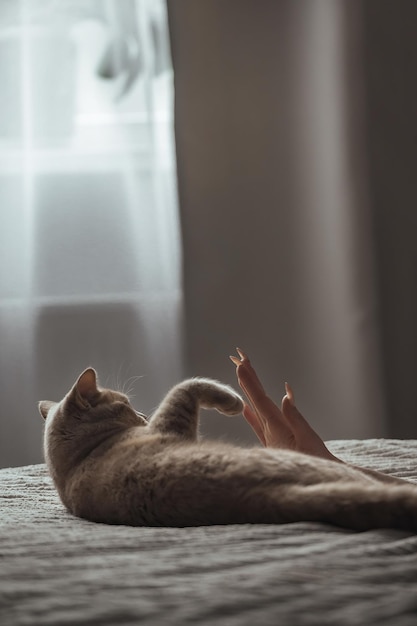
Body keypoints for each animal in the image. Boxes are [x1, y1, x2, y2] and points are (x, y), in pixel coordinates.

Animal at [39, 368, 417, 528]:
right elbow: (186, 385)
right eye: (128, 405)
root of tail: (269, 498)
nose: (143, 415)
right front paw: (234, 401)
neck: (79, 459)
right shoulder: (172, 420)